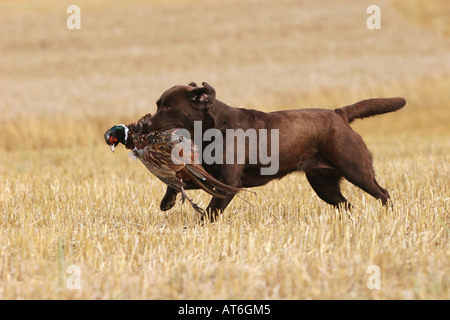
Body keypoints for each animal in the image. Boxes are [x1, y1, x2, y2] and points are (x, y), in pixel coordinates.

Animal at [143, 82, 404, 220]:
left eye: (169, 107)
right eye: (158, 105)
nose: (144, 125)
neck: (214, 128)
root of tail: (339, 114)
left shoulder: (229, 181)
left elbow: (210, 212)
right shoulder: (214, 177)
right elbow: (179, 183)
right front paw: (167, 201)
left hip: (356, 169)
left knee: (383, 193)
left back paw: (390, 217)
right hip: (323, 184)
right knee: (347, 205)